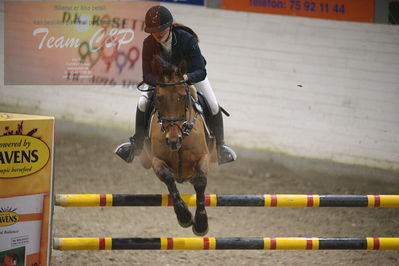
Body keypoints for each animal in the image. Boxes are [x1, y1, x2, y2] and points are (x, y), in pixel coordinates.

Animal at [139, 56, 217, 235]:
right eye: (159, 98)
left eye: (182, 96)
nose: (173, 141)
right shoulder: (156, 160)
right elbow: (168, 178)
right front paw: (184, 216)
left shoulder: (203, 157)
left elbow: (200, 181)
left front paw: (201, 223)